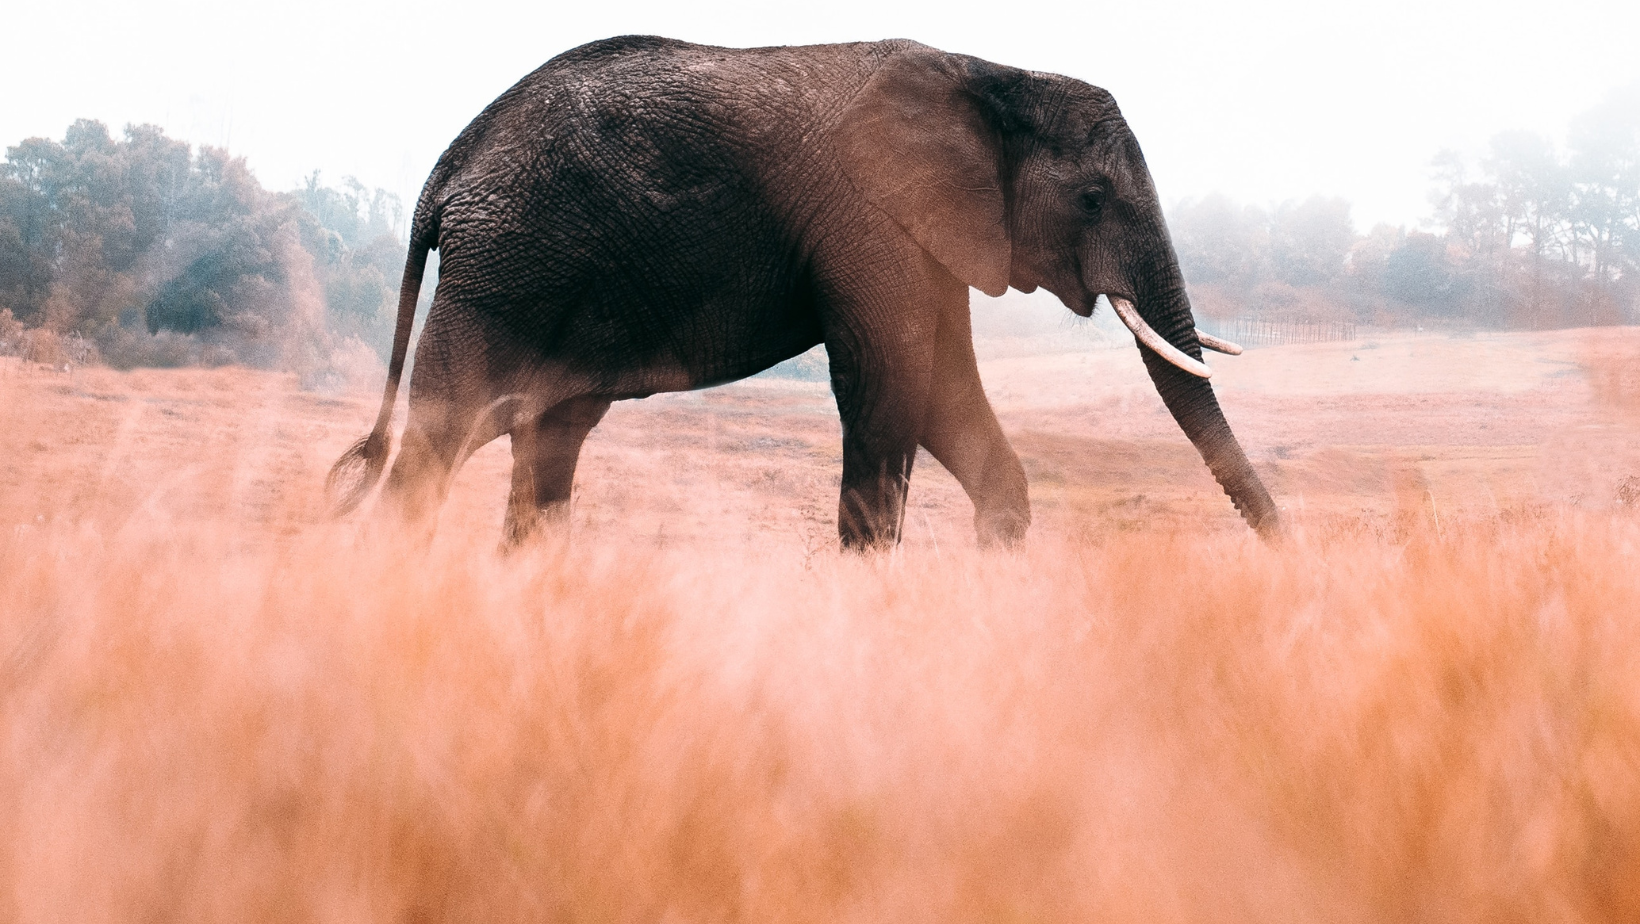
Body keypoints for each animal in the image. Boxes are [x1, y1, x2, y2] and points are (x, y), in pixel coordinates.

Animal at [326, 36, 1279, 548]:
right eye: (1091, 198)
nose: (1290, 557)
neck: (991, 72)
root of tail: (446, 170)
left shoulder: (927, 232)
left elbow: (945, 396)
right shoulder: (869, 218)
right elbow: (893, 387)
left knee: (545, 445)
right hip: (505, 271)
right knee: (441, 443)